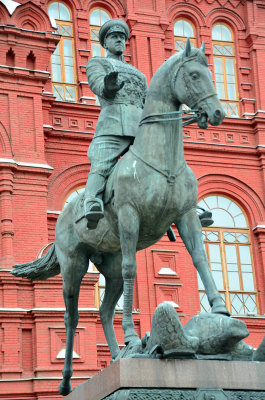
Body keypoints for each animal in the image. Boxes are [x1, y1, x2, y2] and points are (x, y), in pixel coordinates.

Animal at [11, 39, 228, 396]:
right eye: (194, 75)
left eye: (211, 74)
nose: (218, 113)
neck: (161, 159)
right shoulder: (129, 217)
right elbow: (132, 270)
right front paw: (131, 334)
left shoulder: (186, 216)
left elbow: (199, 259)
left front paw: (220, 307)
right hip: (73, 267)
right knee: (72, 316)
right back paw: (67, 379)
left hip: (107, 266)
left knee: (102, 309)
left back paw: (118, 356)